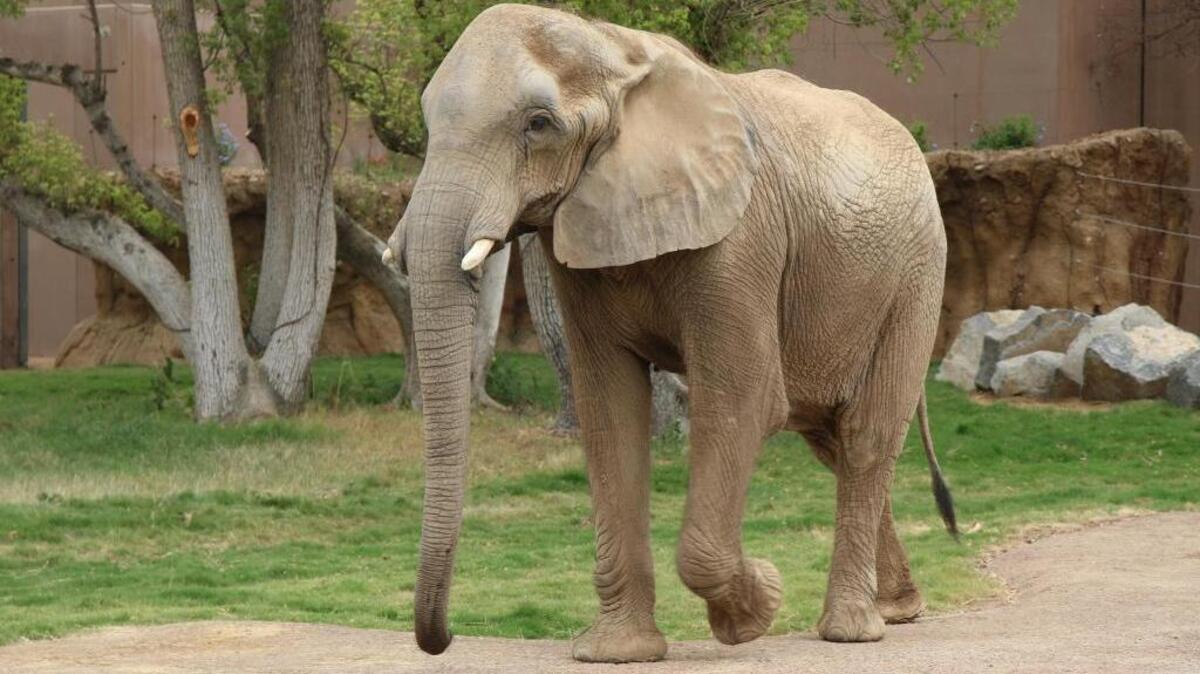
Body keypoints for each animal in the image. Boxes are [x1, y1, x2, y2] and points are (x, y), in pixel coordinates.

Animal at [382, 3, 957, 663]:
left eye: (538, 124)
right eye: (427, 124)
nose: (443, 638)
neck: (612, 47)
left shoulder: (742, 239)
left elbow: (744, 399)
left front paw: (757, 606)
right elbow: (610, 408)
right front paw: (616, 652)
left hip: (916, 275)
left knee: (866, 436)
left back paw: (852, 628)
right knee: (830, 441)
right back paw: (899, 609)